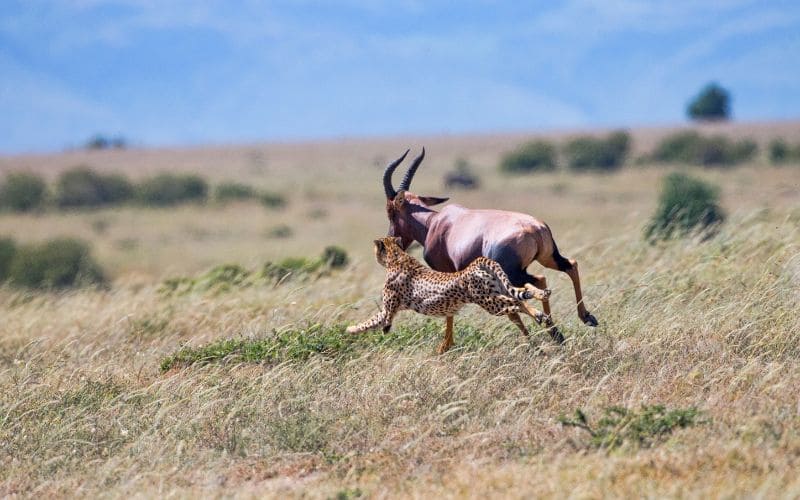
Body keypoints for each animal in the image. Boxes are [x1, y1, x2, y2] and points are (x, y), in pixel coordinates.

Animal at [347, 236, 552, 353]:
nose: (375, 254)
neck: (396, 256)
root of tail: (477, 262)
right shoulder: (390, 309)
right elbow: (370, 321)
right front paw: (351, 329)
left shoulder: (390, 307)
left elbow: (383, 320)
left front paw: (378, 329)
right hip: (497, 291)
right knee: (521, 294)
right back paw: (541, 301)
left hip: (489, 302)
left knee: (515, 303)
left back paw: (539, 313)